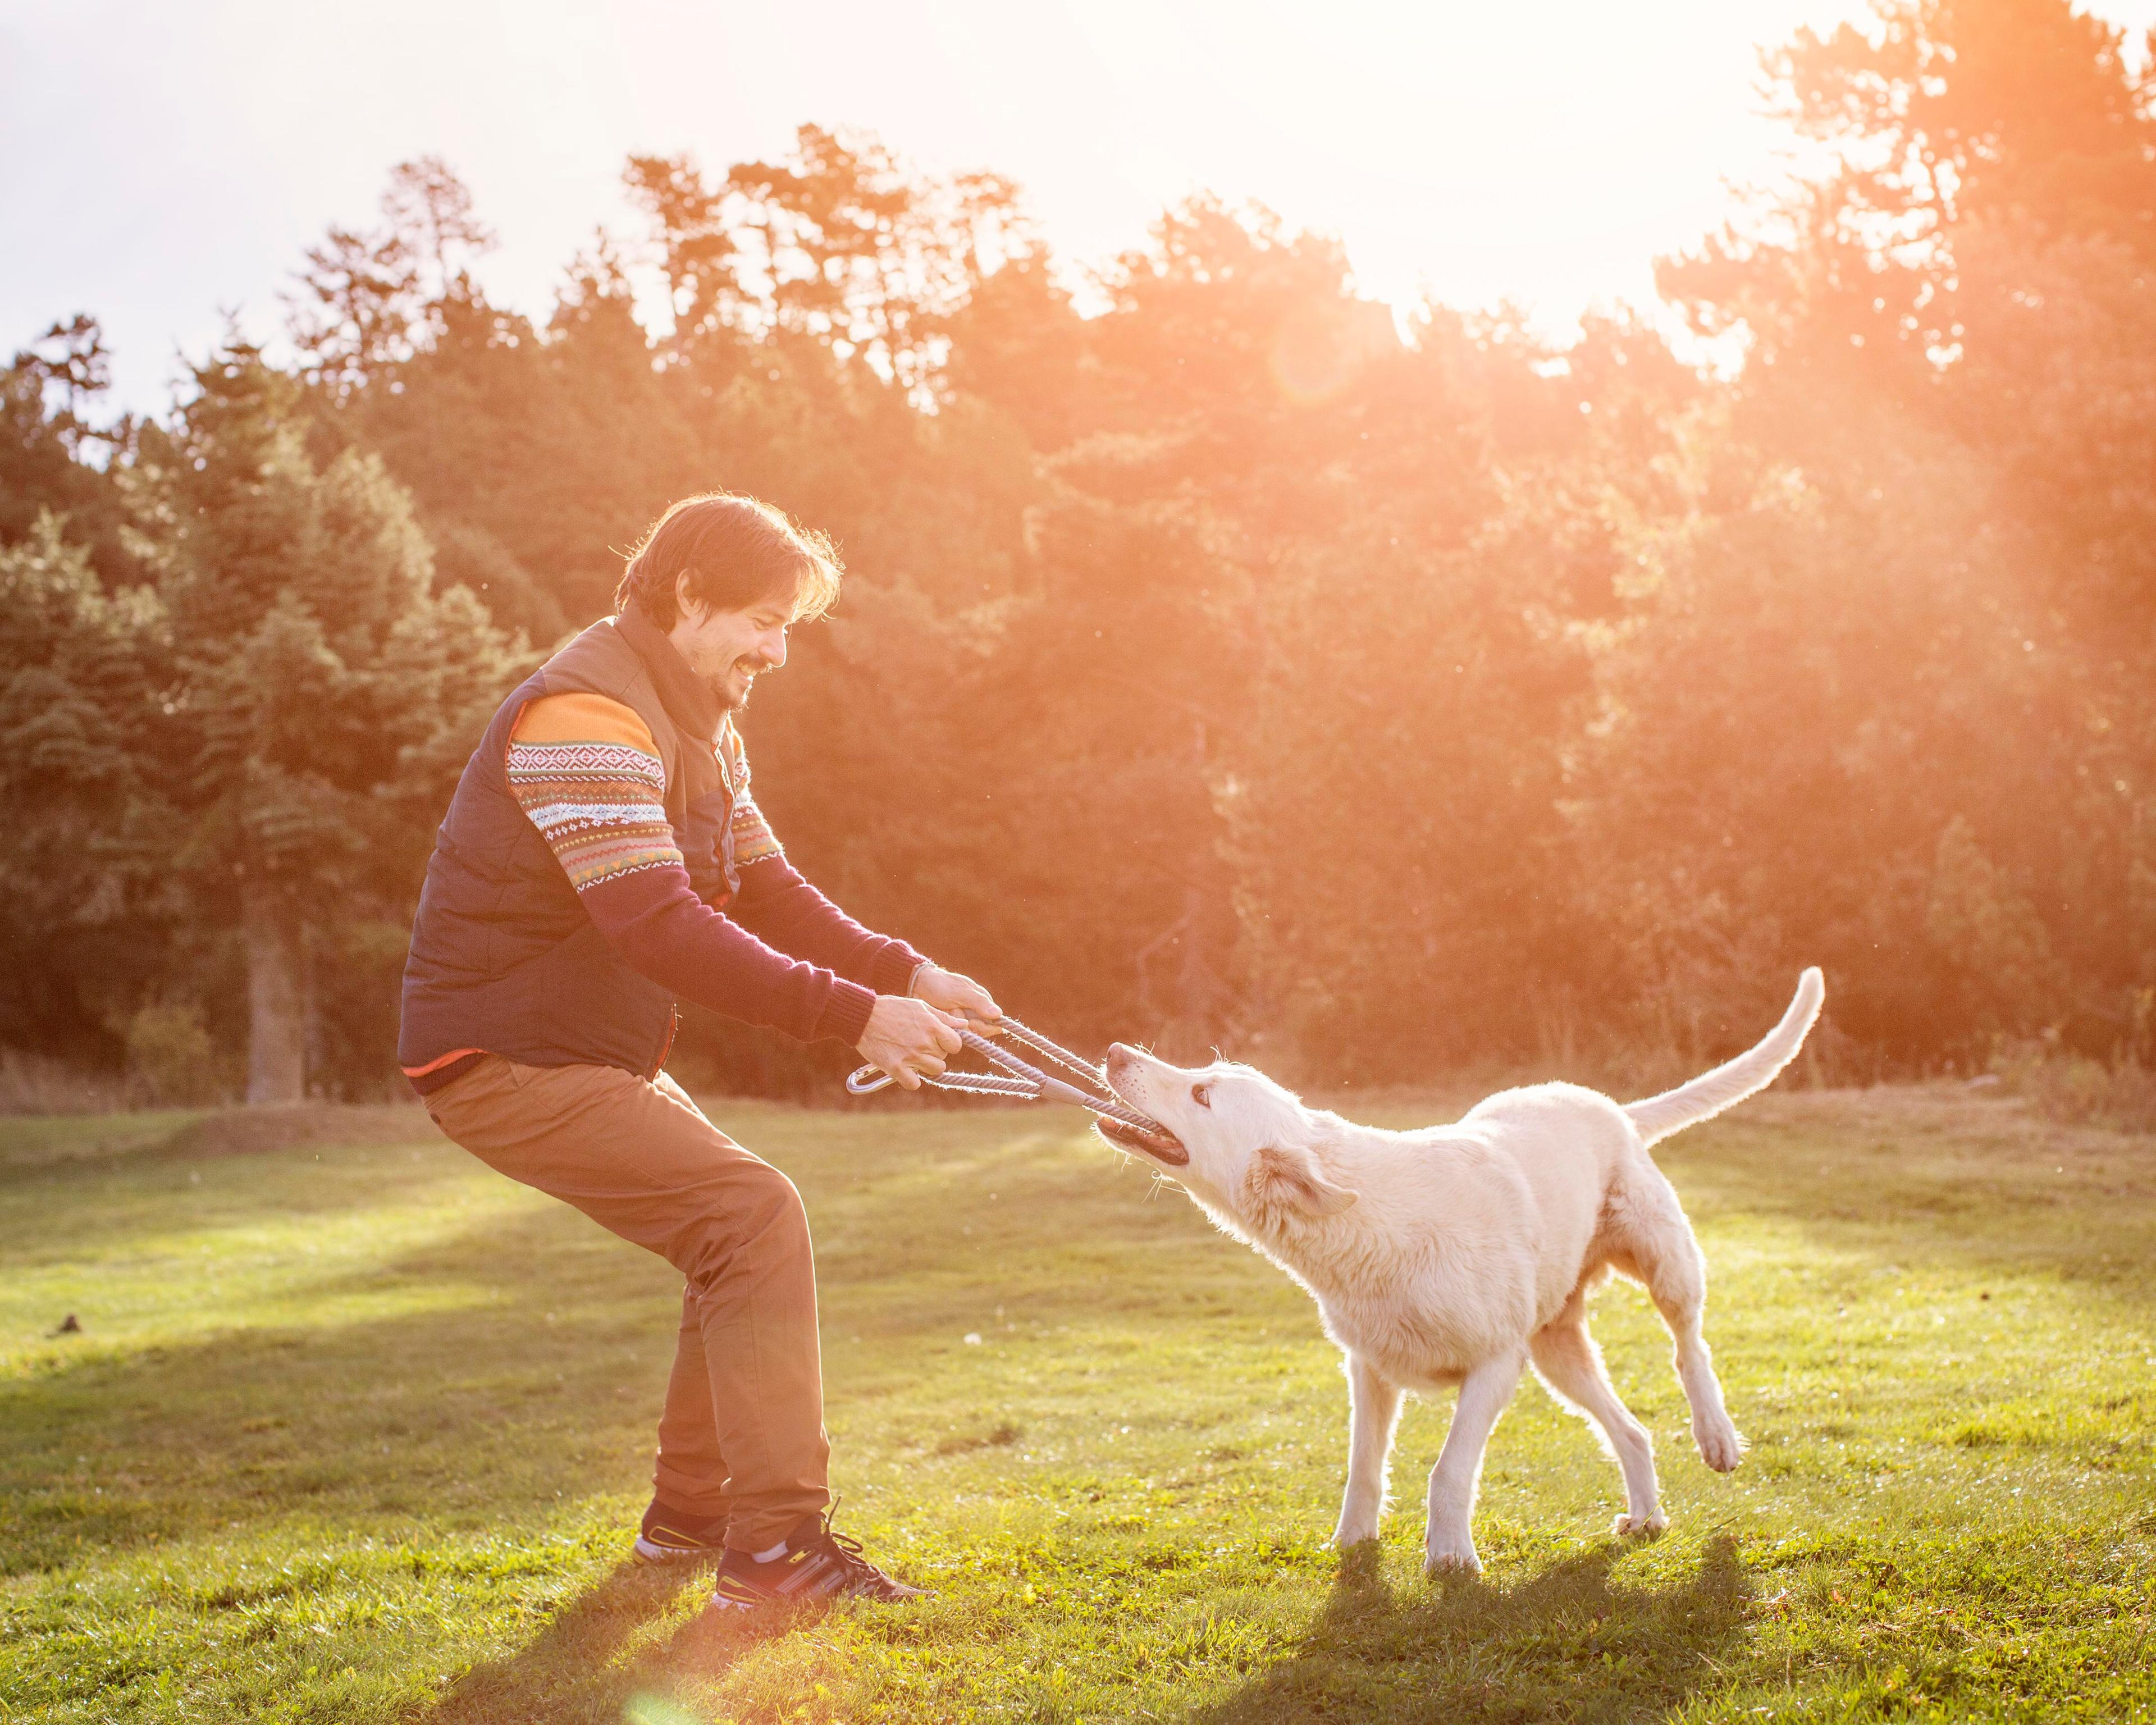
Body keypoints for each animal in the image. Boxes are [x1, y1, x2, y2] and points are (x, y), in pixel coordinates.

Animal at [1104, 961, 1828, 1569]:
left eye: (1201, 1094)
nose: (1113, 1053)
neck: (1368, 1224)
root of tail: (1607, 1105)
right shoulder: (1370, 1371)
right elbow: (1364, 1468)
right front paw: (1352, 1546)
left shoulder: (1494, 1368)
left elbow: (1448, 1470)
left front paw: (1451, 1559)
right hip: (1556, 1352)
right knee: (1632, 1430)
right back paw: (1647, 1517)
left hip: (1662, 1261)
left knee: (1689, 1346)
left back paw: (1717, 1437)